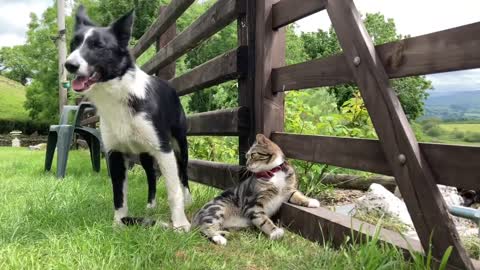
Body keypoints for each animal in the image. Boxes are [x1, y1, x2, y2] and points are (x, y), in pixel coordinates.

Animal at [64, 5, 191, 231]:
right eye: (74, 44)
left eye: (98, 46)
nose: (69, 65)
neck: (119, 92)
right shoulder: (114, 153)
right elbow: (119, 195)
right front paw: (119, 224)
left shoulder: (163, 149)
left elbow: (173, 190)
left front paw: (180, 223)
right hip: (144, 153)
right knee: (151, 175)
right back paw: (150, 205)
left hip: (179, 144)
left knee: (183, 174)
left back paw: (188, 199)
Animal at [190, 134, 318, 246]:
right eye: (247, 157)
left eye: (252, 155)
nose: (246, 164)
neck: (274, 172)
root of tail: (195, 216)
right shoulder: (253, 203)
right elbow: (263, 220)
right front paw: (275, 232)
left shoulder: (288, 190)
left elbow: (297, 195)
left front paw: (312, 201)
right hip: (217, 209)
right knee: (204, 228)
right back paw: (219, 238)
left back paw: (226, 234)